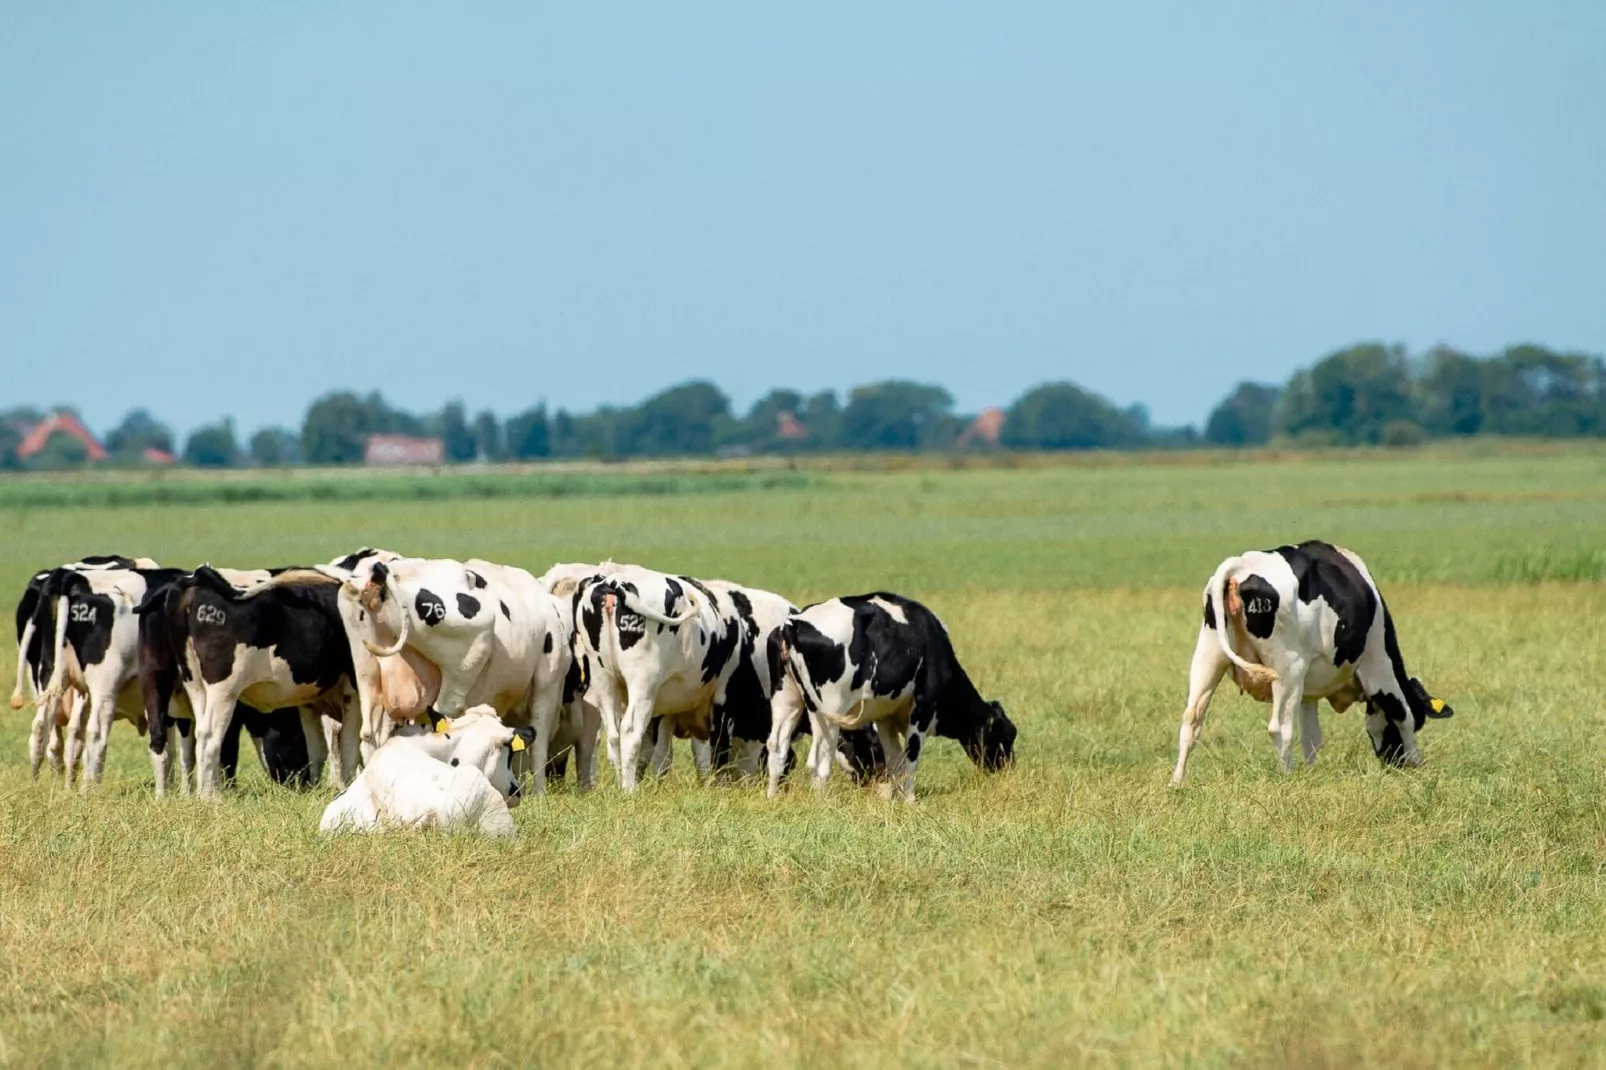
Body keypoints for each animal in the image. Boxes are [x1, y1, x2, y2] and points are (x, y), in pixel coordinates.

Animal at [338, 552, 571, 787]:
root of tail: (386, 573)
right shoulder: (548, 682)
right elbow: (538, 743)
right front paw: (540, 792)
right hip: (465, 663)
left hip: (367, 672)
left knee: (371, 733)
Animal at [764, 591, 1014, 800]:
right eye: (1007, 735)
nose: (1007, 771)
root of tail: (793, 623)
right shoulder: (922, 707)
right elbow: (911, 756)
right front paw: (909, 800)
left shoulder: (885, 718)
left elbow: (894, 761)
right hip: (826, 710)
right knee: (818, 760)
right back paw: (822, 803)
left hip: (786, 701)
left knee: (777, 747)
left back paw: (772, 797)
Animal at [1169, 533, 1458, 784]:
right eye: (1421, 721)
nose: (1397, 764)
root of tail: (1240, 566)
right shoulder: (1380, 667)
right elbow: (1403, 714)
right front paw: (1415, 761)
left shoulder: (1308, 694)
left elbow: (1311, 737)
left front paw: (1311, 773)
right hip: (1288, 669)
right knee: (1279, 728)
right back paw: (1286, 779)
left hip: (1209, 657)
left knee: (1191, 720)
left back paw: (1177, 783)